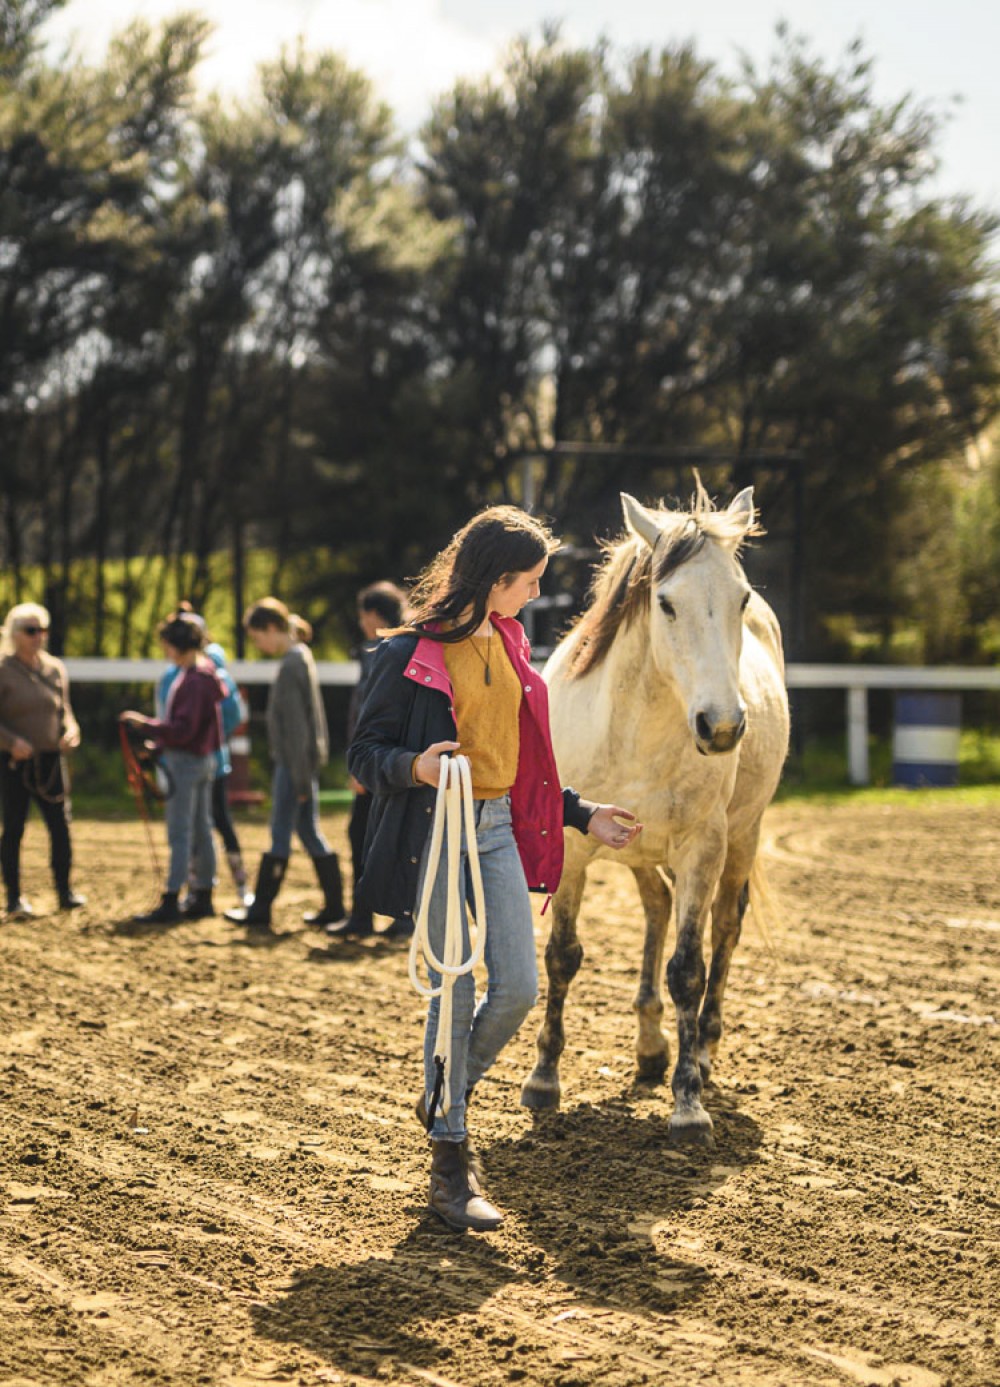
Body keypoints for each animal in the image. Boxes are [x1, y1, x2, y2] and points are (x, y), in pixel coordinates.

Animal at [521, 482, 787, 1142]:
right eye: (665, 603)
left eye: (742, 598)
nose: (723, 727)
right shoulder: (576, 846)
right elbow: (562, 956)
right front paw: (543, 1079)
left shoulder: (701, 848)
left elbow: (688, 967)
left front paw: (688, 1104)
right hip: (640, 849)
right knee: (657, 907)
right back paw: (648, 1046)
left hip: (742, 838)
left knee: (724, 928)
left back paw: (703, 1051)